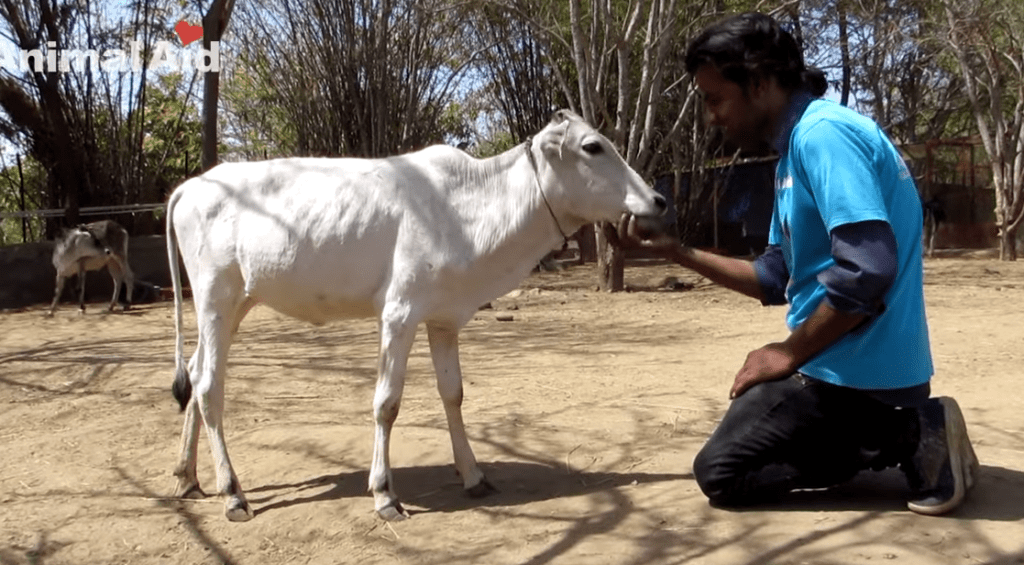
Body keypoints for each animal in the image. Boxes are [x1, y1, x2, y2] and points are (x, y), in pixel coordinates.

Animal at [165, 110, 667, 522]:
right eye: (592, 146)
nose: (659, 200)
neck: (468, 208)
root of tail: (193, 185)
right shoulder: (399, 314)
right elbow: (387, 403)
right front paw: (384, 493)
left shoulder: (444, 320)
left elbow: (453, 394)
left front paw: (474, 476)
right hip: (215, 299)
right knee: (208, 389)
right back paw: (233, 494)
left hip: (235, 305)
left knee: (195, 371)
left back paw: (188, 476)